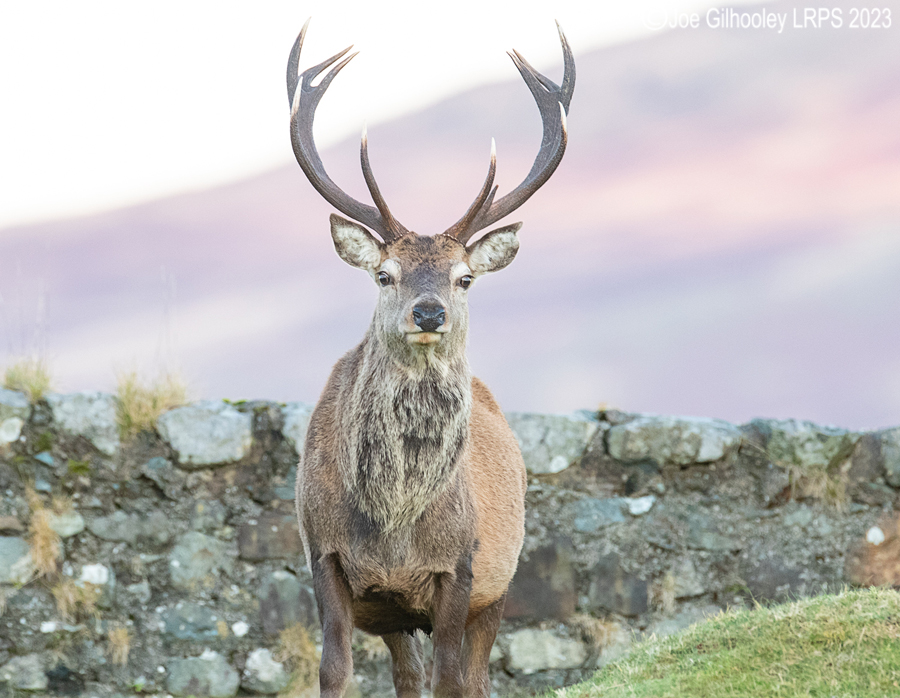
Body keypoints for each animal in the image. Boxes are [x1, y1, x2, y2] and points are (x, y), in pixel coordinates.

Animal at [288, 19, 574, 698]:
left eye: (463, 278)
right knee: (407, 674)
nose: (427, 313)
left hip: (501, 582)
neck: (395, 528)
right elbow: (334, 670)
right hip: (396, 615)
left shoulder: (463, 565)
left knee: (472, 678)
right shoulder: (325, 556)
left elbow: (452, 679)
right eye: (384, 274)